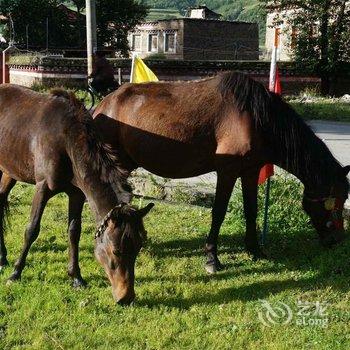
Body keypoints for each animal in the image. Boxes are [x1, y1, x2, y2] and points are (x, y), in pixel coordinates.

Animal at [0, 85, 153, 304]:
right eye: (116, 250)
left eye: (139, 246)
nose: (126, 297)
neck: (67, 141)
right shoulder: (42, 187)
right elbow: (31, 230)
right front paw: (16, 273)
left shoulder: (77, 194)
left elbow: (74, 231)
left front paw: (76, 277)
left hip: (9, 171)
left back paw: (2, 256)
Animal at [93, 72, 350, 274]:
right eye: (336, 199)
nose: (337, 239)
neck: (257, 118)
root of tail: (102, 105)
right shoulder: (227, 171)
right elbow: (218, 212)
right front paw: (212, 258)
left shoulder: (250, 171)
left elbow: (251, 210)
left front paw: (254, 249)